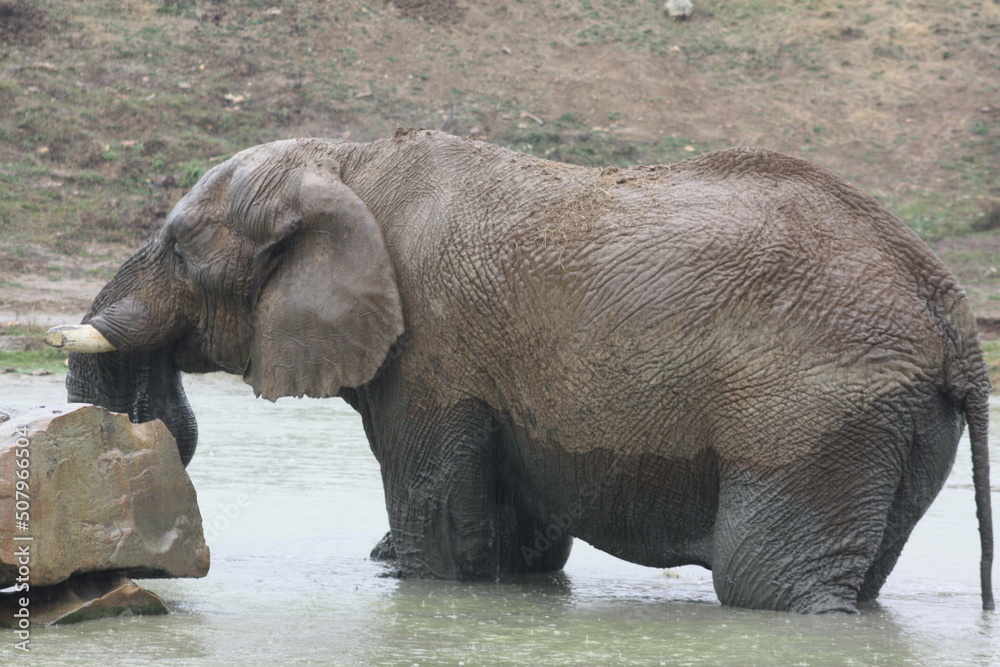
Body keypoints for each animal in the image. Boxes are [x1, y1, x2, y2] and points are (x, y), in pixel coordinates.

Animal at [56, 128, 993, 614]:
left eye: (180, 248)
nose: (144, 409)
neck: (350, 162)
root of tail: (946, 302)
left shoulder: (430, 352)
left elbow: (441, 530)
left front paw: (414, 576)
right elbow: (518, 537)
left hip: (815, 411)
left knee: (764, 582)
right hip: (889, 419)